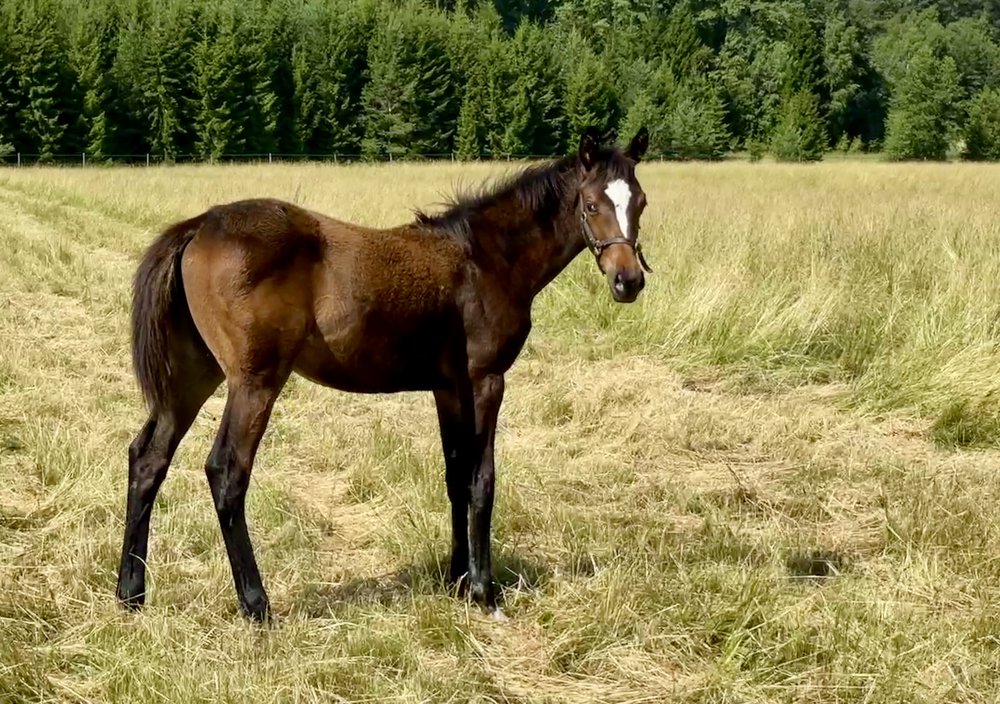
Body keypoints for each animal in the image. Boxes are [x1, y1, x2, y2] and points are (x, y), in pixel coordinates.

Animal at [117, 126, 652, 620]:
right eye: (591, 204)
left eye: (641, 202)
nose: (628, 281)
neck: (485, 258)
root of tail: (199, 224)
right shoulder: (486, 380)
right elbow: (482, 479)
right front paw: (485, 592)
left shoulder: (448, 388)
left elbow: (455, 475)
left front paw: (457, 578)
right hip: (254, 381)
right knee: (226, 471)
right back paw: (256, 604)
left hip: (193, 376)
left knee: (148, 458)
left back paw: (130, 594)